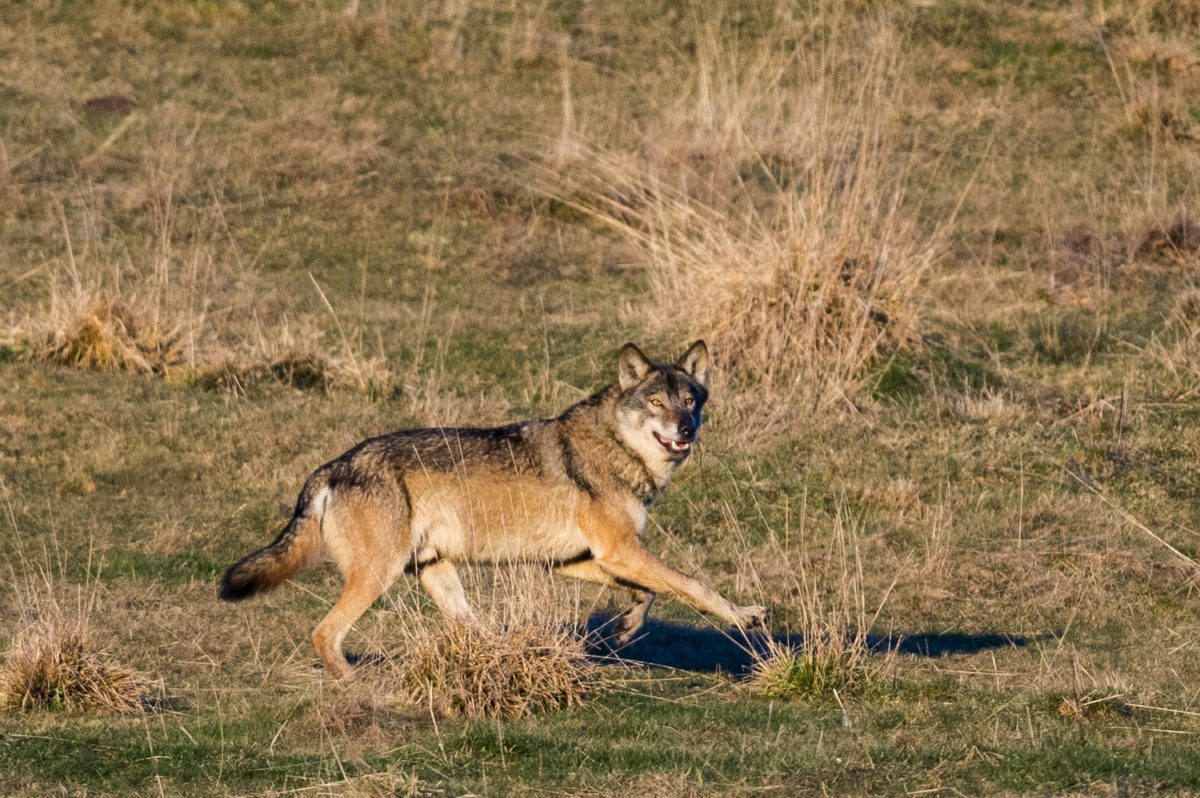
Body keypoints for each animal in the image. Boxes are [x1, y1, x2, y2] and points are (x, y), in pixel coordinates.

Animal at [220, 338, 768, 676]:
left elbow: (648, 593)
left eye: (690, 400)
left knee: (470, 628)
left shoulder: (578, 560)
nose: (686, 429)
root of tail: (332, 467)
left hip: (437, 573)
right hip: (379, 575)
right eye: (657, 403)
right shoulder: (619, 550)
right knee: (324, 635)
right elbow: (693, 585)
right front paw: (744, 617)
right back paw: (361, 691)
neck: (619, 448)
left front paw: (626, 628)